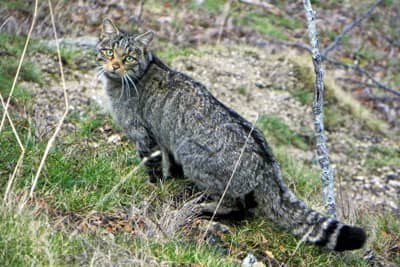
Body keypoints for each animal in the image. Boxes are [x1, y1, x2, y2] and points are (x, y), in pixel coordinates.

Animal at [96, 19, 366, 253]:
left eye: (129, 57)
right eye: (109, 52)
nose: (115, 65)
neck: (134, 77)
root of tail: (267, 163)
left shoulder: (145, 137)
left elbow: (152, 169)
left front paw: (153, 186)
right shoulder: (166, 143)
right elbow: (170, 168)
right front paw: (171, 182)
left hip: (194, 157)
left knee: (236, 206)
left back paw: (207, 209)